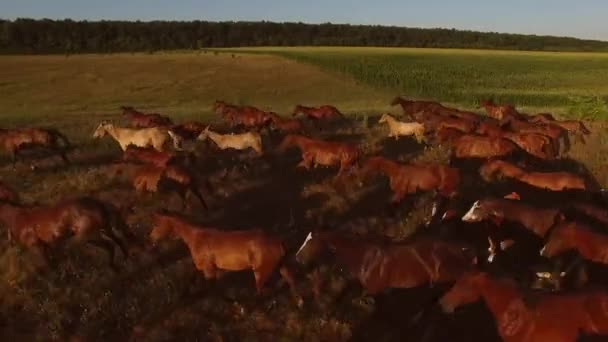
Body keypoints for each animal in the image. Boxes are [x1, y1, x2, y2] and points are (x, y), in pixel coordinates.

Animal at [0, 196, 131, 268]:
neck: (18, 218)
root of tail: (98, 203)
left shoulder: (38, 247)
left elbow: (50, 266)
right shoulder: (48, 246)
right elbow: (55, 263)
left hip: (90, 236)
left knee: (112, 245)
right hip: (100, 233)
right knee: (117, 242)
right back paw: (121, 263)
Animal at [148, 212, 300, 304]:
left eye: (157, 225)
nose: (151, 239)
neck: (196, 238)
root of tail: (278, 242)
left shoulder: (209, 270)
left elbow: (214, 289)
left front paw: (233, 301)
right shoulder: (201, 267)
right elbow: (191, 278)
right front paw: (182, 296)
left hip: (260, 273)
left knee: (262, 291)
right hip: (280, 266)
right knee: (289, 280)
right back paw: (299, 301)